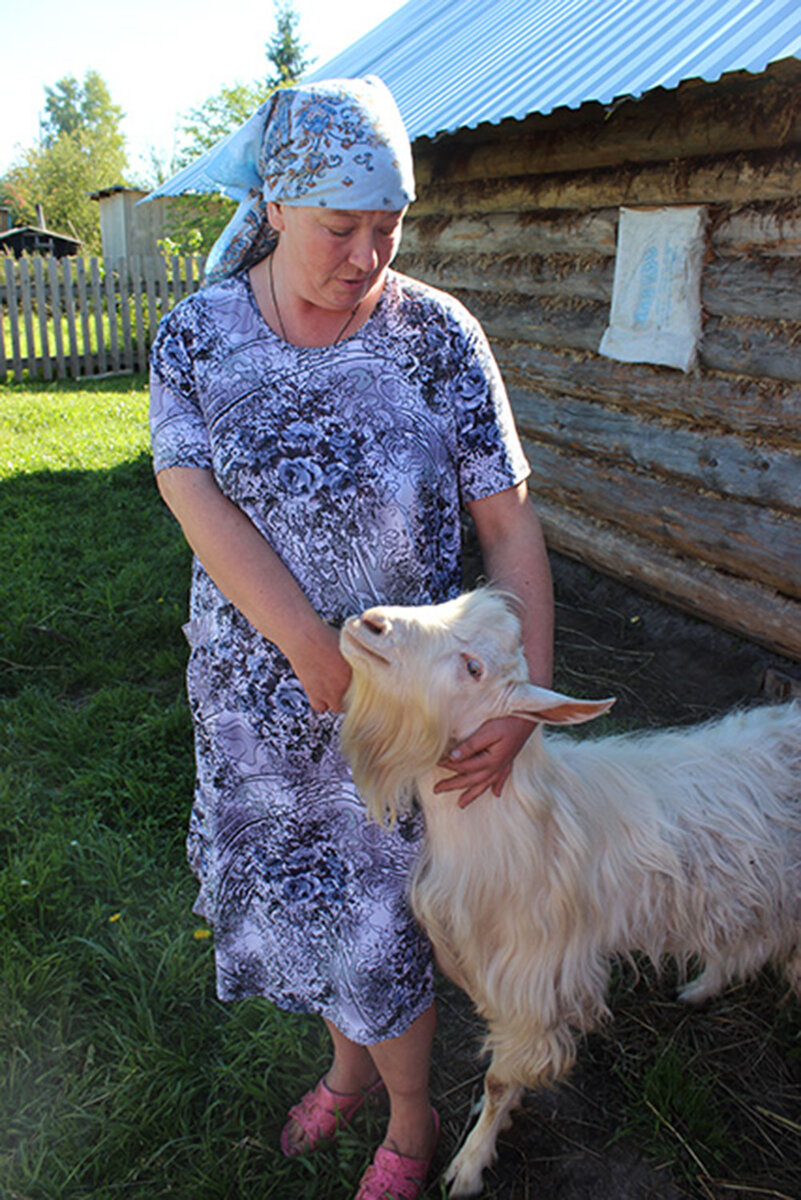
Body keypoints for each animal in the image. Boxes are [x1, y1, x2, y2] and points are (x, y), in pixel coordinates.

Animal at [340, 592, 801, 1200]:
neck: (520, 829)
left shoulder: (532, 978)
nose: (369, 623)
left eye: (473, 667)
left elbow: (501, 1077)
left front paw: (470, 1163)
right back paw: (699, 988)